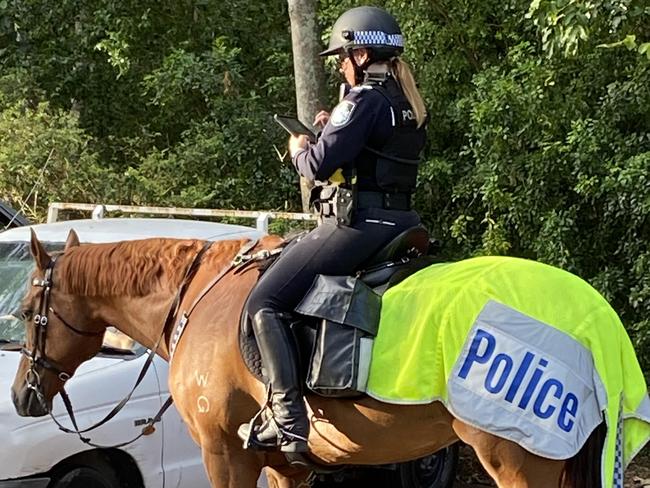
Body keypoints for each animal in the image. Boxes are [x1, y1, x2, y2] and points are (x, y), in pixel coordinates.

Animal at [8, 230, 604, 488]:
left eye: (24, 311)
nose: (20, 396)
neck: (199, 296)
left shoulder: (225, 456)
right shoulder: (282, 467)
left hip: (518, 462)